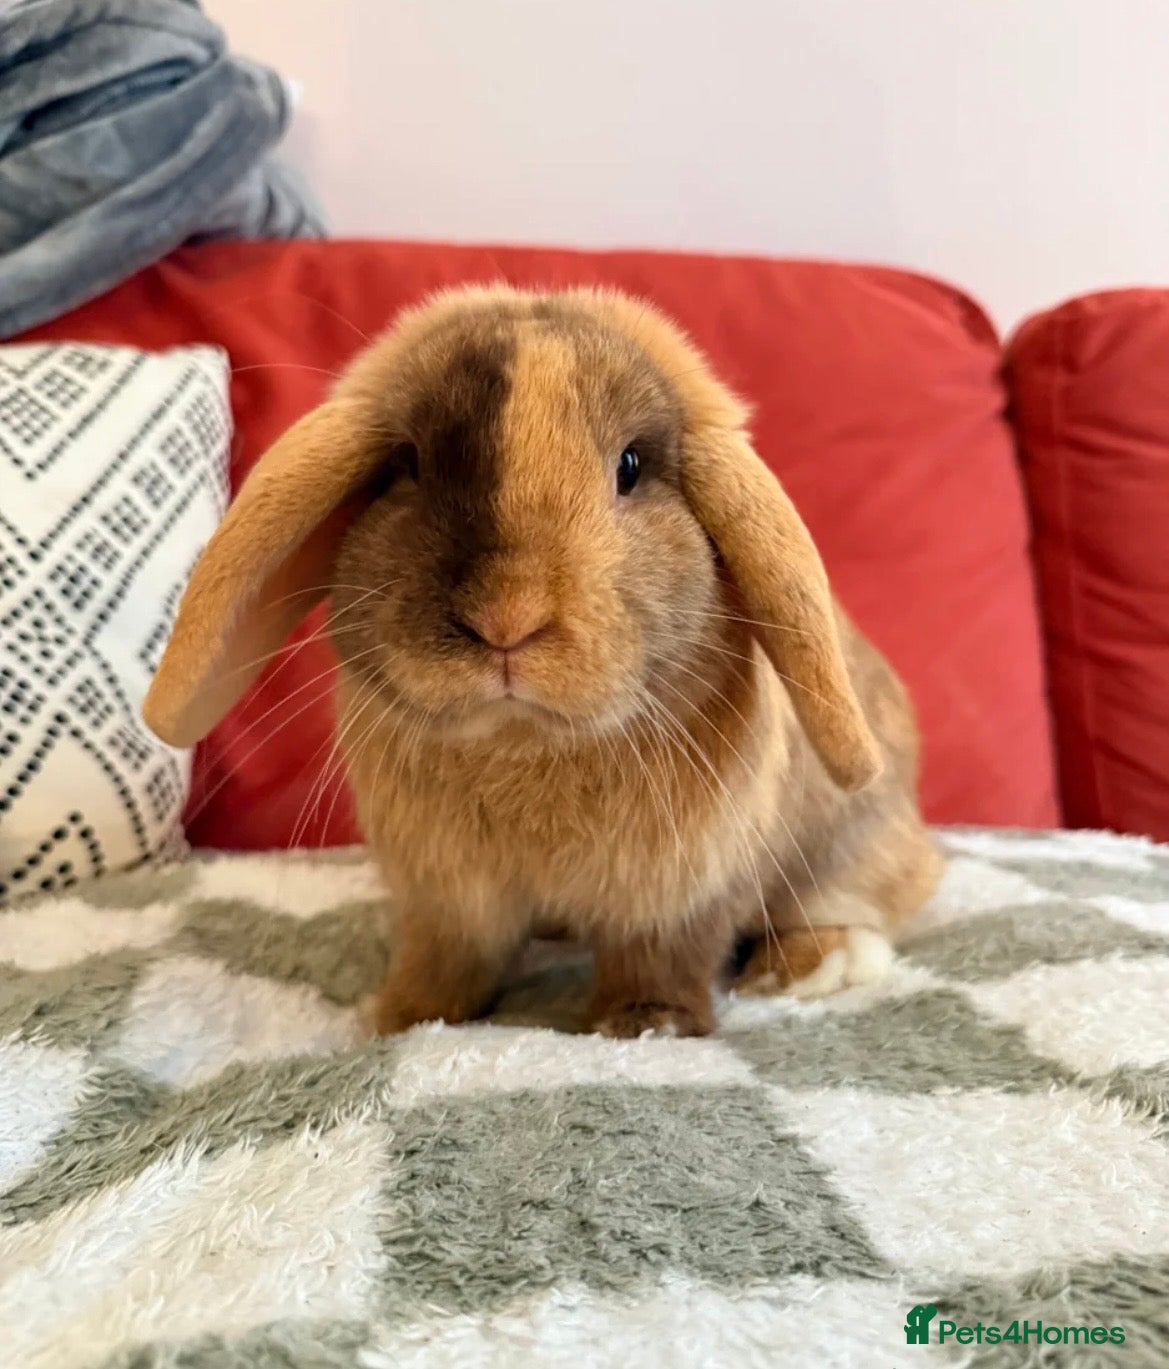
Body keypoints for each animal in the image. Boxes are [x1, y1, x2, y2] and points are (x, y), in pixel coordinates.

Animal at [143, 284, 943, 1038]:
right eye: (406, 466)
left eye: (631, 466)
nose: (508, 618)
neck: (524, 743)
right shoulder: (447, 901)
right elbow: (446, 961)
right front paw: (402, 1016)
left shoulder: (677, 894)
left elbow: (663, 958)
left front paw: (646, 1024)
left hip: (854, 839)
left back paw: (812, 963)